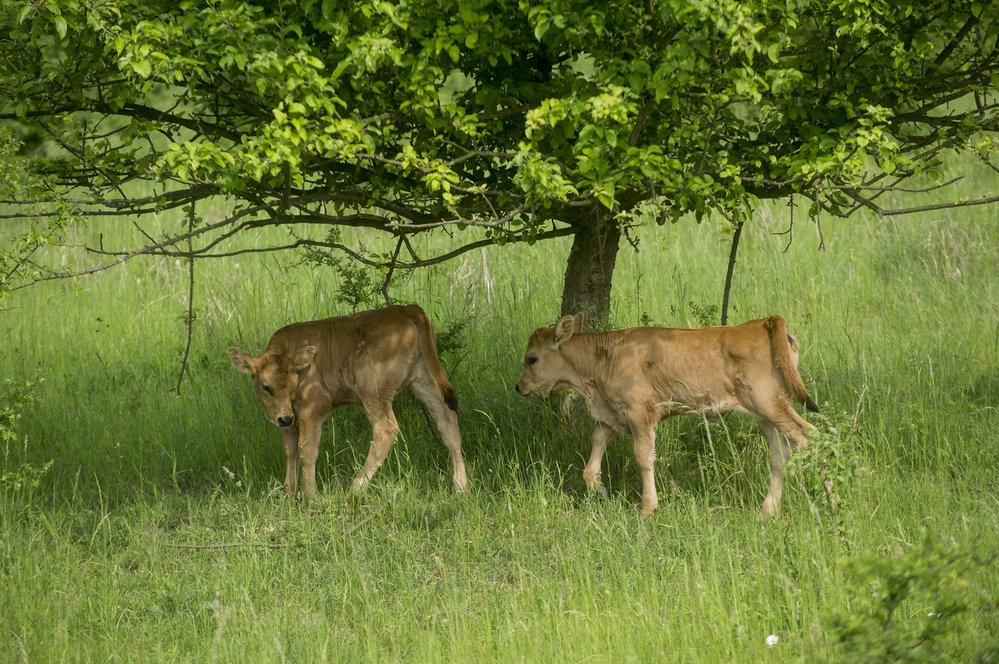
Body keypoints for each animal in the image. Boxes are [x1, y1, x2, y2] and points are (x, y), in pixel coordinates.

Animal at [229, 304, 470, 500]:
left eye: (292, 383)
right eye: (266, 386)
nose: (284, 418)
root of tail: (405, 309)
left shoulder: (310, 413)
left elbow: (307, 451)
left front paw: (310, 498)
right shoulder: (292, 423)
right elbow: (290, 451)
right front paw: (289, 493)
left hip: (372, 392)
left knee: (386, 429)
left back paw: (354, 489)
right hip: (422, 380)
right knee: (446, 418)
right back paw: (460, 487)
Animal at [516, 314, 820, 516]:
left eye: (532, 358)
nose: (519, 387)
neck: (605, 356)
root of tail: (762, 322)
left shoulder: (640, 413)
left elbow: (643, 457)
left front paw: (647, 508)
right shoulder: (613, 415)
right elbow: (592, 456)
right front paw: (601, 492)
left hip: (770, 405)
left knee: (810, 436)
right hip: (768, 414)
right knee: (780, 455)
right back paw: (767, 511)